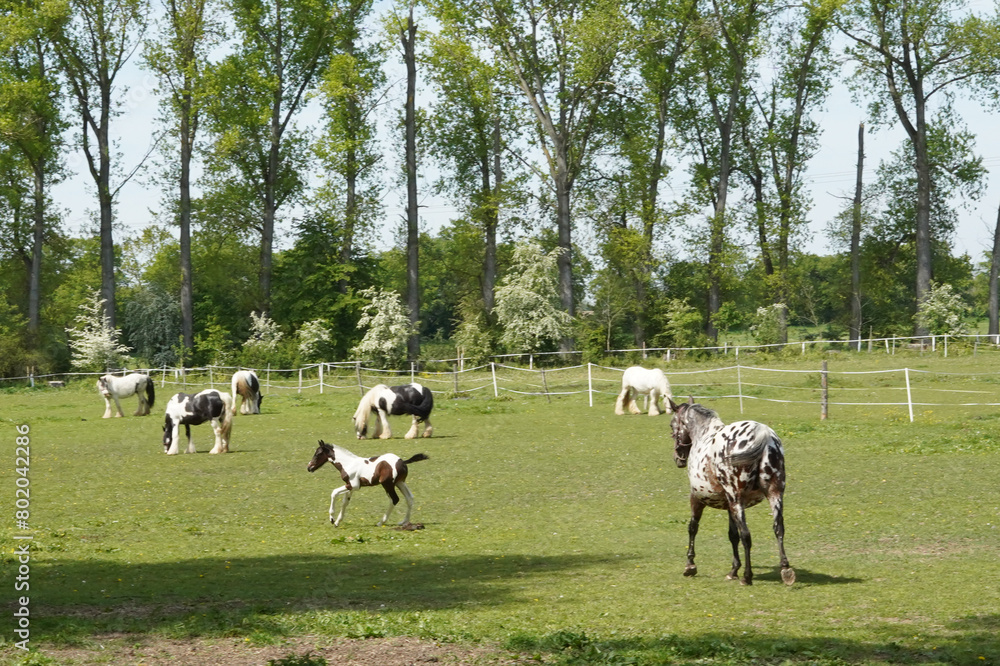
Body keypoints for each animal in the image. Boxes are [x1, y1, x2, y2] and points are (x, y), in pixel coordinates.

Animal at [668, 396, 795, 586]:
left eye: (672, 425)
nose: (678, 458)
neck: (703, 434)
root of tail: (763, 435)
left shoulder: (697, 498)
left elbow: (692, 528)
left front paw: (690, 565)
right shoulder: (729, 505)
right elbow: (732, 535)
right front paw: (734, 569)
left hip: (737, 500)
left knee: (746, 535)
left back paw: (747, 577)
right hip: (774, 494)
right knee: (778, 528)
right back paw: (785, 569)